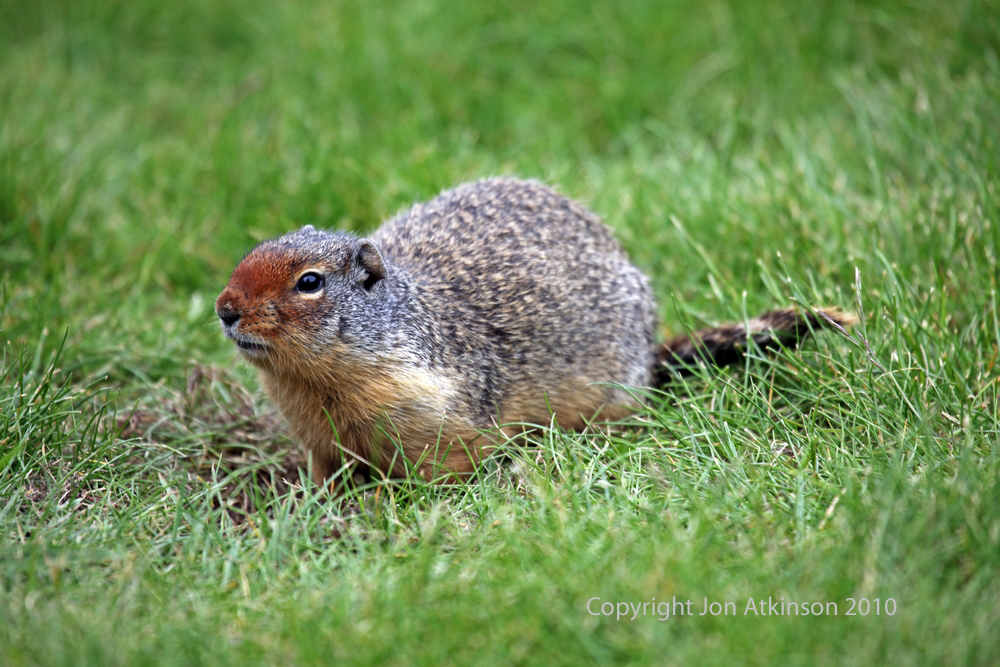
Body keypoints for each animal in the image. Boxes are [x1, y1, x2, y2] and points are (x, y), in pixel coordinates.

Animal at [215, 179, 855, 486]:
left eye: (310, 282)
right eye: (253, 250)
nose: (224, 308)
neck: (319, 385)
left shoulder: (436, 417)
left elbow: (437, 472)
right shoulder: (318, 436)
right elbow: (326, 472)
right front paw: (315, 502)